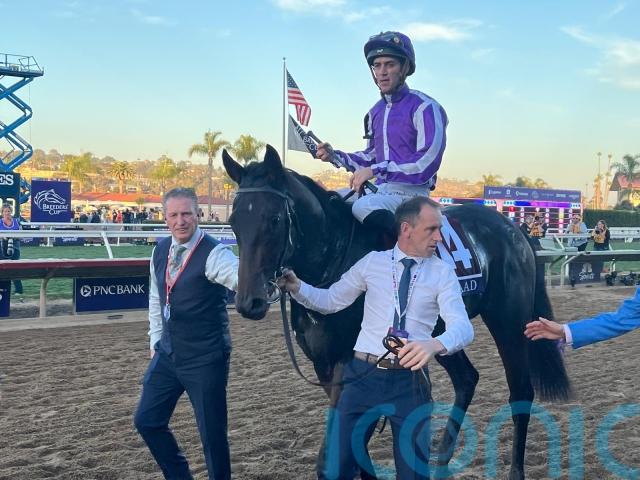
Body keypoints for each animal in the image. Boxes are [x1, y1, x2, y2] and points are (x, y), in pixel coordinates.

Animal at [222, 145, 570, 480]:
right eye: (234, 222)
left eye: (274, 220)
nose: (249, 302)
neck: (335, 256)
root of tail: (513, 228)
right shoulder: (324, 364)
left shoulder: (346, 362)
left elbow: (333, 457)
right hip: (439, 332)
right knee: (467, 378)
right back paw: (440, 463)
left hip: (509, 321)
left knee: (521, 390)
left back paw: (515, 471)